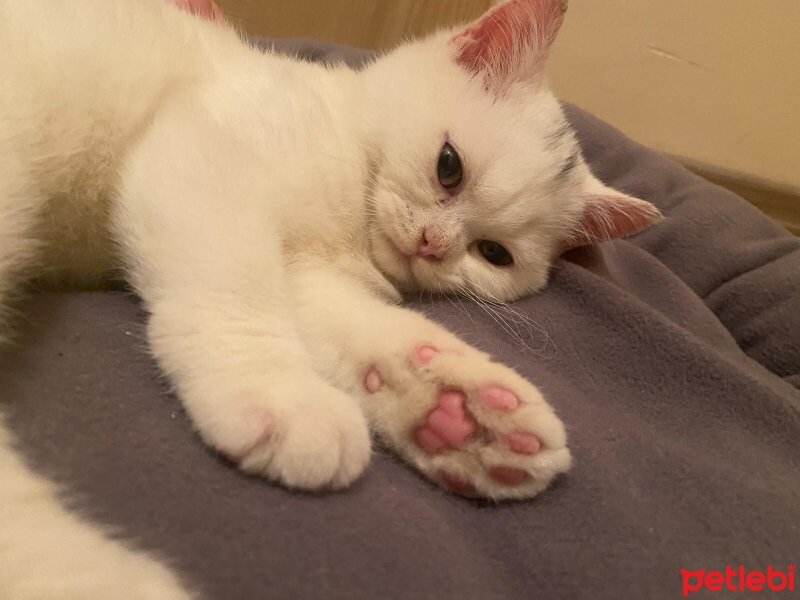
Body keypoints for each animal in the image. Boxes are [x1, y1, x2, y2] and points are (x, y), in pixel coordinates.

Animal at [0, 0, 660, 596]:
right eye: (449, 167)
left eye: (493, 254)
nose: (433, 244)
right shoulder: (204, 150)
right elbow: (240, 283)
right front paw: (280, 393)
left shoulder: (308, 274)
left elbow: (354, 325)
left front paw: (455, 408)